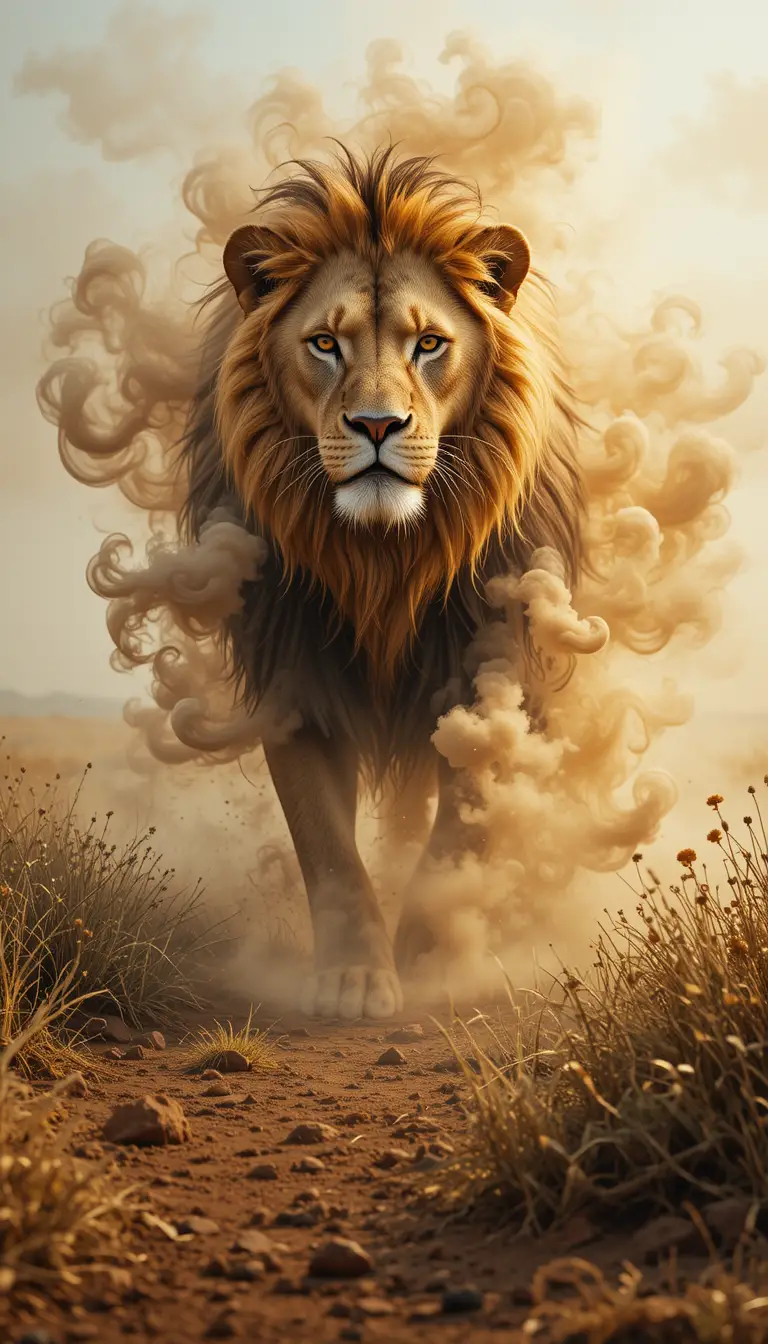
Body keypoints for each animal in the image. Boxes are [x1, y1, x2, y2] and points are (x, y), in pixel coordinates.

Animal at [182, 145, 584, 1020]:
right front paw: (354, 980)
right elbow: (328, 846)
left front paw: (432, 962)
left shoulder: (494, 671)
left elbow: (461, 828)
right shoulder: (292, 677)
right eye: (324, 343)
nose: (375, 425)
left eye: (429, 343)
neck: (384, 562)